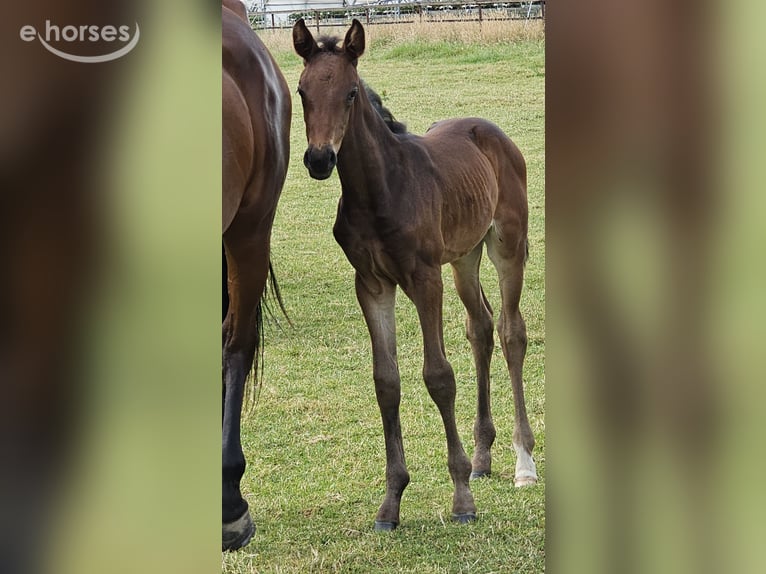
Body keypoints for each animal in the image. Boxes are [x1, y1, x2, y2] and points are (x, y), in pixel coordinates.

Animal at [292, 18, 537, 531]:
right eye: (302, 91)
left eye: (350, 93)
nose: (319, 160)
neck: (382, 188)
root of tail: (491, 131)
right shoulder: (371, 284)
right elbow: (386, 382)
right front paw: (391, 503)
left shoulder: (425, 279)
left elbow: (439, 375)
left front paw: (462, 499)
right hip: (463, 257)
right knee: (480, 327)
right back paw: (483, 458)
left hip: (506, 245)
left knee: (511, 331)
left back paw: (523, 462)